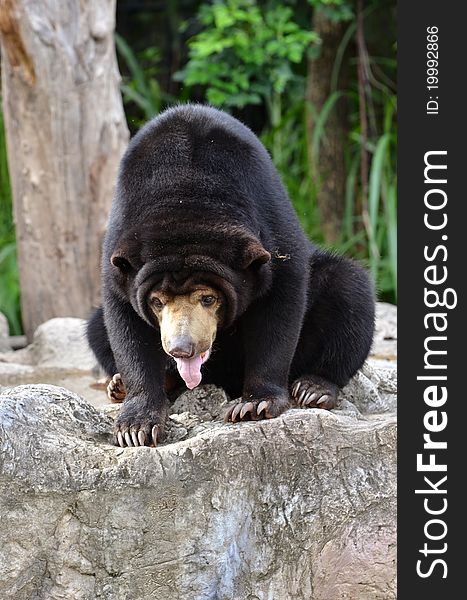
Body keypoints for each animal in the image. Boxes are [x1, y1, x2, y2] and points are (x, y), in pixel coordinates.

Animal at [86, 105, 374, 448]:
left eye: (208, 298)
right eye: (157, 301)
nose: (181, 349)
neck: (185, 198)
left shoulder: (269, 221)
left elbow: (281, 304)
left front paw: (254, 404)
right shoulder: (120, 252)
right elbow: (125, 325)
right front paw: (135, 427)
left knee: (349, 289)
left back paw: (314, 388)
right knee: (95, 326)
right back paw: (121, 385)